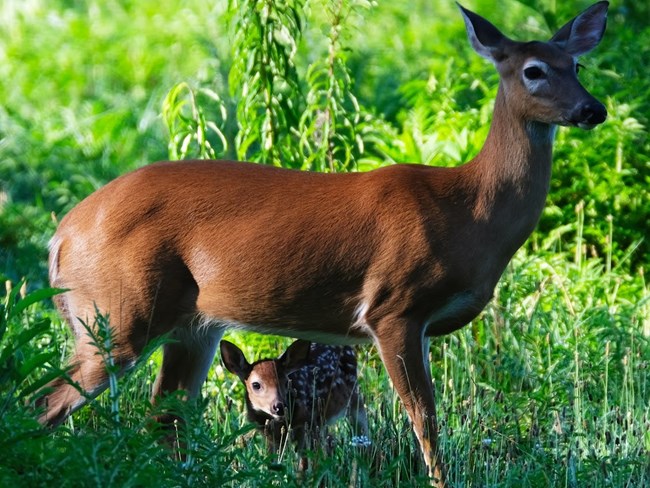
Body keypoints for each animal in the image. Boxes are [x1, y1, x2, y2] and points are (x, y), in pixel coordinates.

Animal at [220, 339, 370, 470]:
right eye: (256, 385)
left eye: (286, 381)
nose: (279, 406)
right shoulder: (271, 437)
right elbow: (272, 462)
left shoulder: (305, 425)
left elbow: (304, 462)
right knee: (329, 440)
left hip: (353, 396)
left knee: (361, 426)